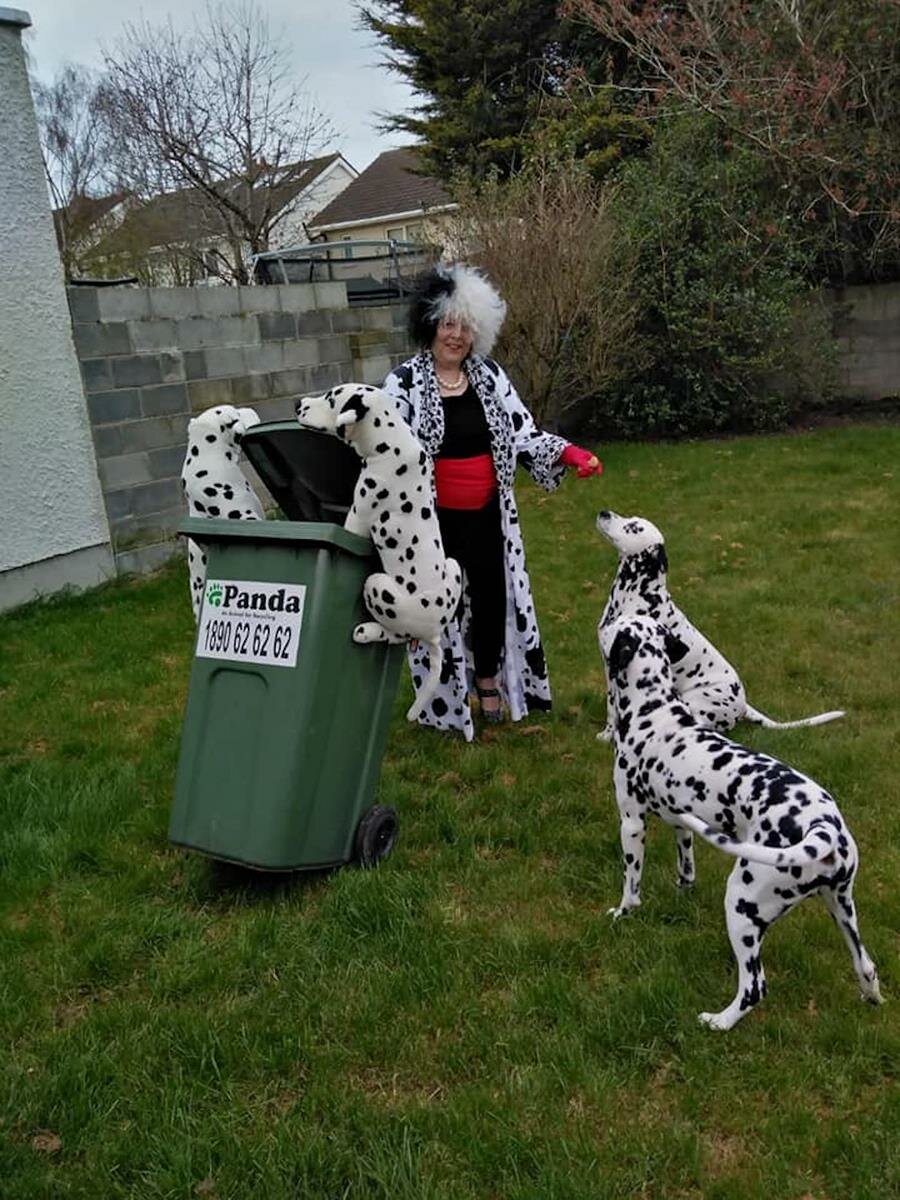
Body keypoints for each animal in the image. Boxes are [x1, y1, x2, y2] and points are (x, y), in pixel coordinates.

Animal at [296, 384, 465, 720]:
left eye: (331, 398)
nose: (298, 403)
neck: (392, 445)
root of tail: (435, 632)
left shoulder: (357, 519)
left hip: (378, 587)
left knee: (398, 634)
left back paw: (367, 630)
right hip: (453, 566)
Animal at [600, 508, 844, 739]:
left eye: (633, 527)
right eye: (630, 518)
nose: (604, 512)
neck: (635, 595)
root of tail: (744, 706)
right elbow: (611, 708)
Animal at [600, 619, 883, 1032]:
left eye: (616, 627)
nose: (603, 621)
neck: (653, 711)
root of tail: (823, 828)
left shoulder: (632, 824)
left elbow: (631, 886)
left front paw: (623, 914)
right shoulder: (681, 825)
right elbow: (686, 870)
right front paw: (682, 893)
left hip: (741, 903)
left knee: (754, 986)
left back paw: (719, 1021)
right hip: (841, 908)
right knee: (867, 966)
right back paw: (871, 996)